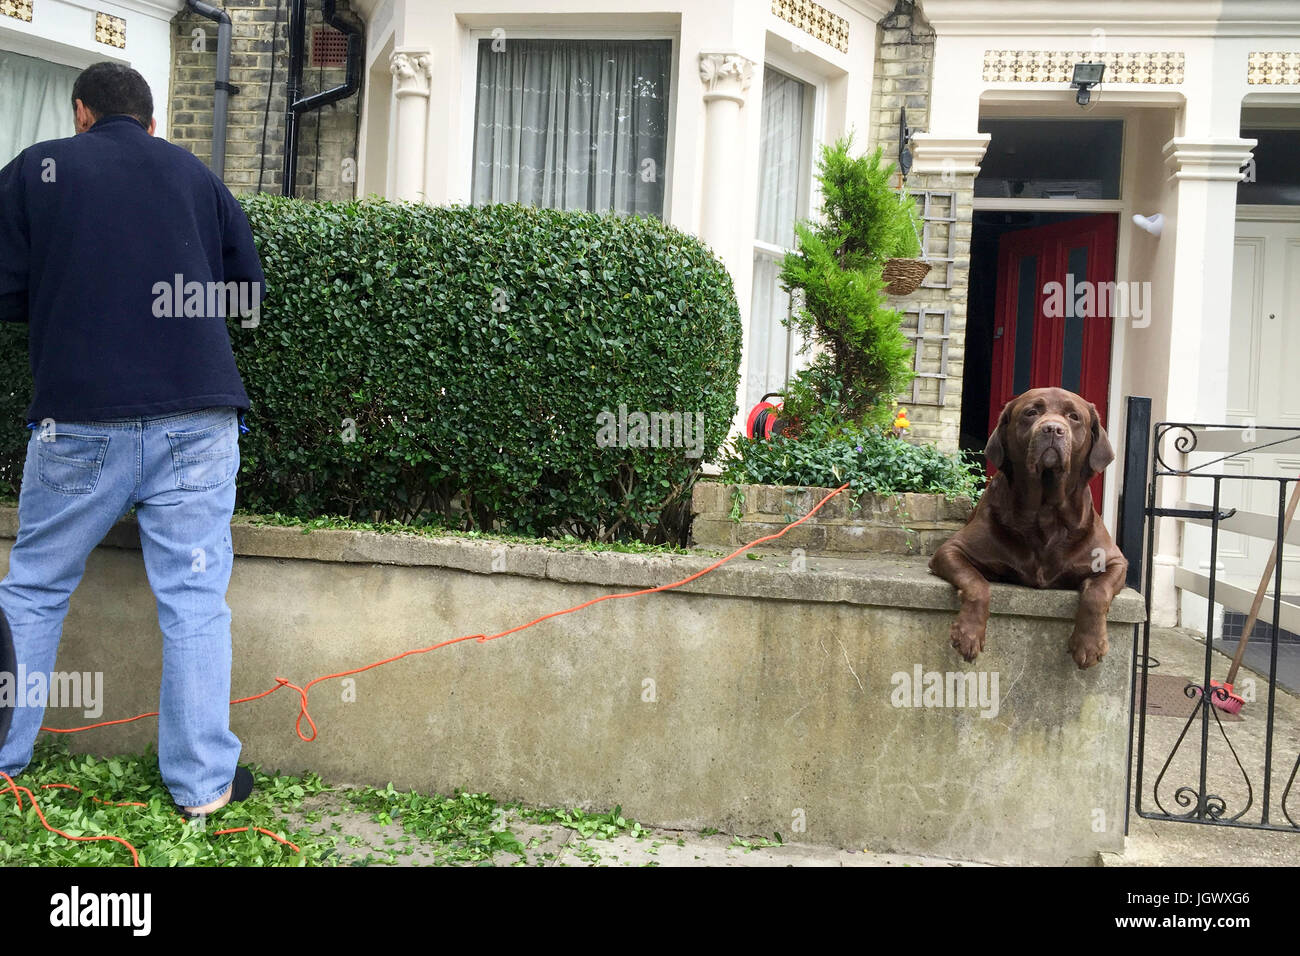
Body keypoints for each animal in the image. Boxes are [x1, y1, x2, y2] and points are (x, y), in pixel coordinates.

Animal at [925, 385, 1128, 671]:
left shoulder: (1114, 561)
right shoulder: (951, 550)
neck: (1045, 512)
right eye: (1031, 412)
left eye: (1074, 417)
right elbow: (977, 583)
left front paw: (1089, 644)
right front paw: (968, 634)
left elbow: (1097, 592)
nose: (1053, 429)